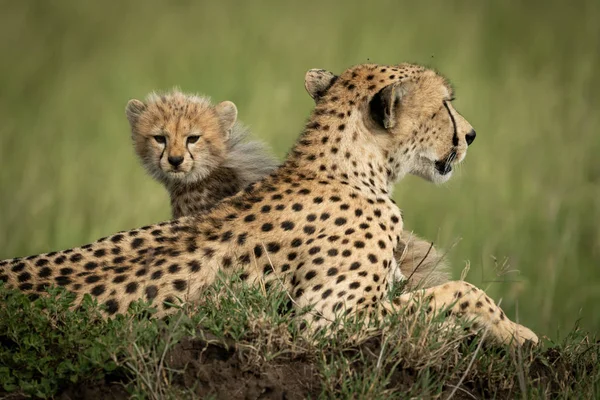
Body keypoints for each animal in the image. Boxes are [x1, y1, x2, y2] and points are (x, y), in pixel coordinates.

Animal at [0, 64, 536, 346]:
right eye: (445, 104)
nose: (471, 135)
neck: (348, 169)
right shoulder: (328, 318)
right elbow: (459, 291)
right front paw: (515, 332)